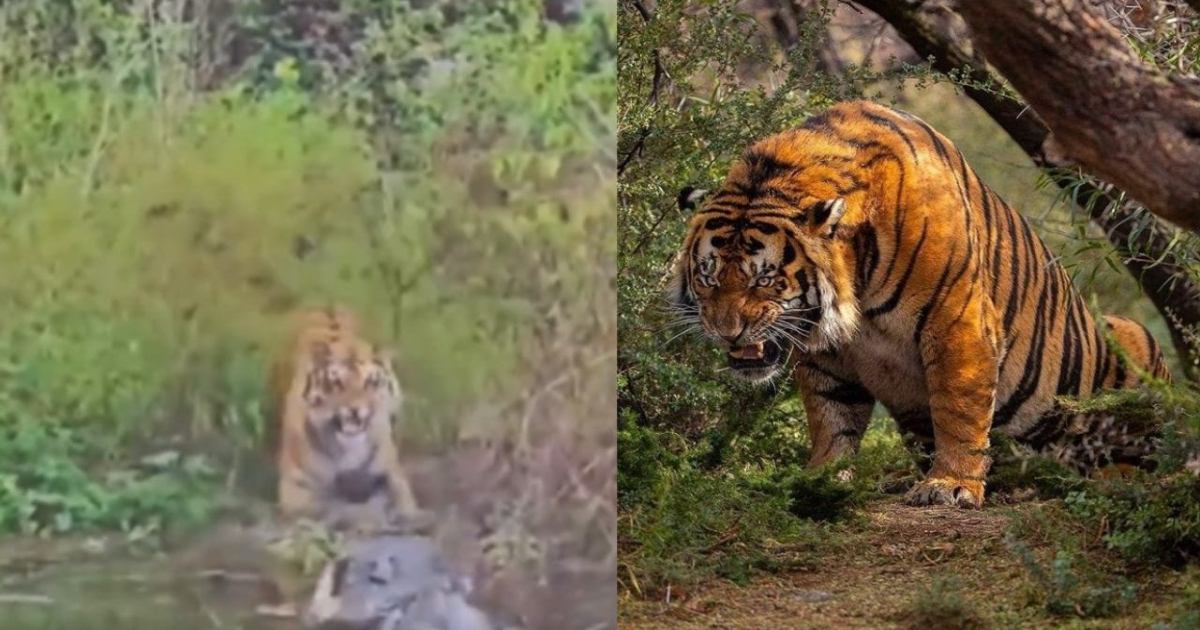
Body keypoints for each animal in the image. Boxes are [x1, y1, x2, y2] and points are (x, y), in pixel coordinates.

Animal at [268, 305, 426, 527]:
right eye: (336, 383)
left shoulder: (391, 473)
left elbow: (401, 498)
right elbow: (330, 507)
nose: (354, 410)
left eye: (371, 382)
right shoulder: (297, 485)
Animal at [664, 100, 1172, 509]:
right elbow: (831, 416)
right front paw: (821, 479)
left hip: (1135, 351)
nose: (725, 330)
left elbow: (958, 410)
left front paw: (949, 485)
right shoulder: (828, 352)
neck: (857, 280)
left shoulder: (958, 323)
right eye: (708, 277)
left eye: (765, 280)